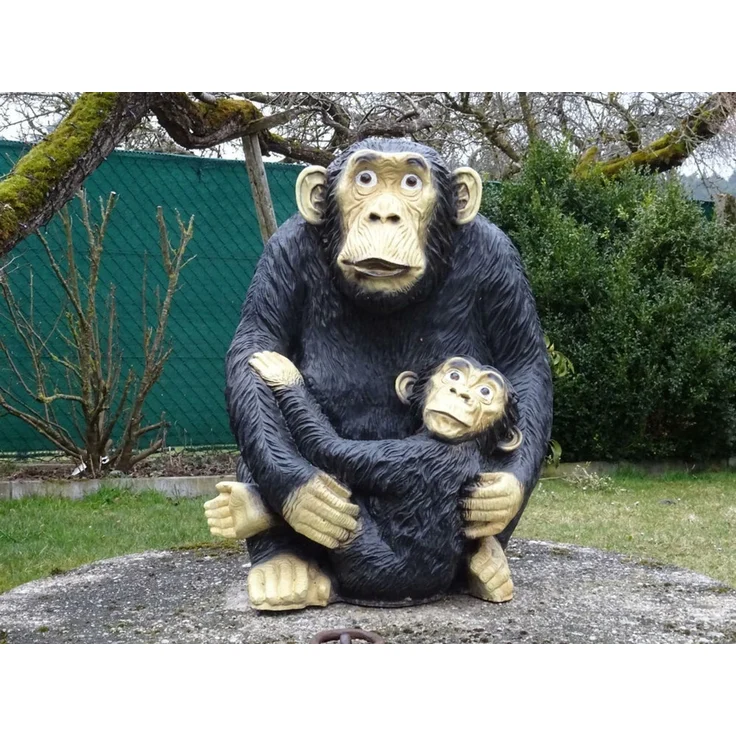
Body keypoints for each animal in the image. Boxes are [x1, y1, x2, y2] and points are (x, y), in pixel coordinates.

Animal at [245, 351, 523, 603]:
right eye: (454, 375)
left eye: (485, 392)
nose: (461, 393)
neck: (464, 443)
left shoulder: (411, 456)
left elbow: (329, 447)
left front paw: (285, 376)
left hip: (368, 564)